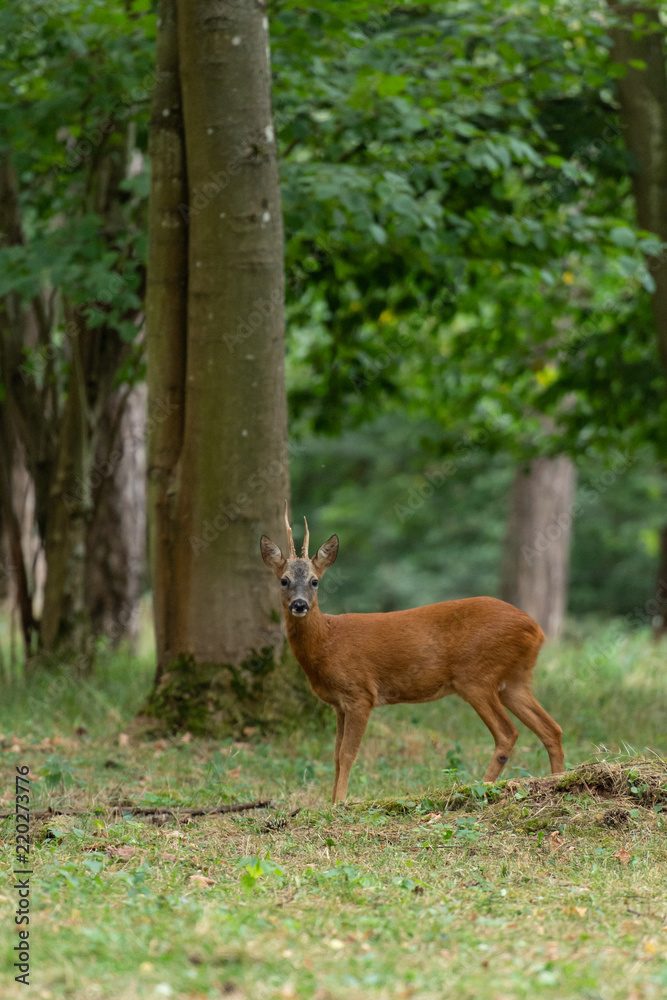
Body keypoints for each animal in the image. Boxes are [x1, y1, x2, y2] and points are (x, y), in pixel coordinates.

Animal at [260, 504, 564, 800]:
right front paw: (332, 801)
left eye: (314, 581)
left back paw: (480, 785)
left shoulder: (360, 694)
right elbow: (334, 756)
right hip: (513, 680)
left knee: (508, 733)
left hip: (476, 676)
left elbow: (347, 754)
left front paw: (340, 803)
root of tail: (536, 629)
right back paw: (557, 778)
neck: (327, 640)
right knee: (552, 728)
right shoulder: (339, 704)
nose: (299, 605)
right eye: (284, 581)